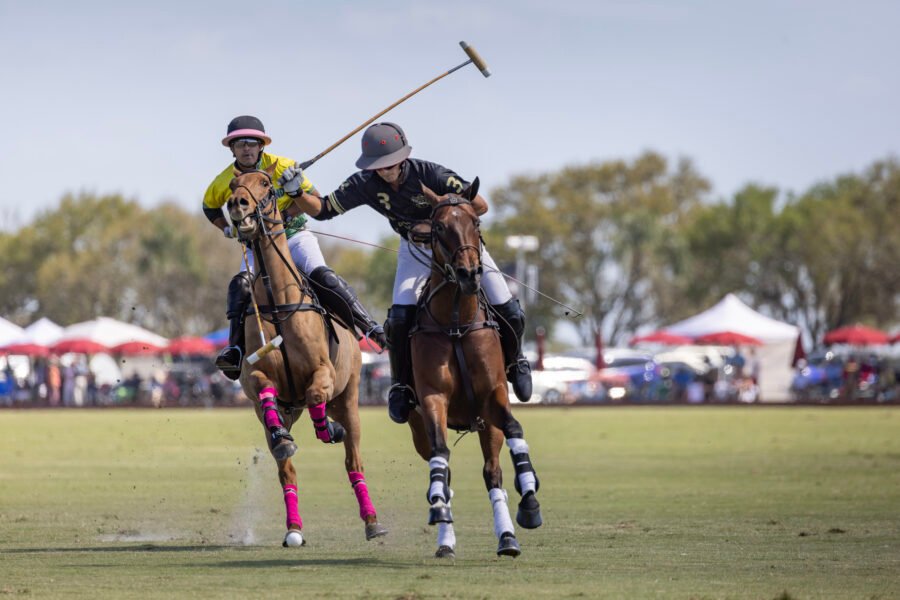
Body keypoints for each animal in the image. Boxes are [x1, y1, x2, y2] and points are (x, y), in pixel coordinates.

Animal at [225, 165, 386, 548]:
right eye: (233, 184)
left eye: (266, 184)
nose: (238, 206)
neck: (276, 299)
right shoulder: (255, 378)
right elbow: (263, 388)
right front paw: (285, 439)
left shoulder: (323, 371)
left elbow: (315, 392)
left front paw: (328, 427)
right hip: (288, 410)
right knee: (286, 469)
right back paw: (293, 526)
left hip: (351, 397)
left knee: (353, 462)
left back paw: (372, 521)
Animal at [406, 179, 540, 556]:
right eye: (438, 227)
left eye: (475, 223)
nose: (469, 274)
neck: (456, 321)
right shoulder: (432, 397)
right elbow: (441, 455)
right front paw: (438, 507)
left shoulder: (493, 395)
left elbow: (515, 429)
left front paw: (529, 496)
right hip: (417, 426)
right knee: (443, 469)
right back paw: (445, 534)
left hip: (485, 423)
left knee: (492, 471)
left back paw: (507, 536)